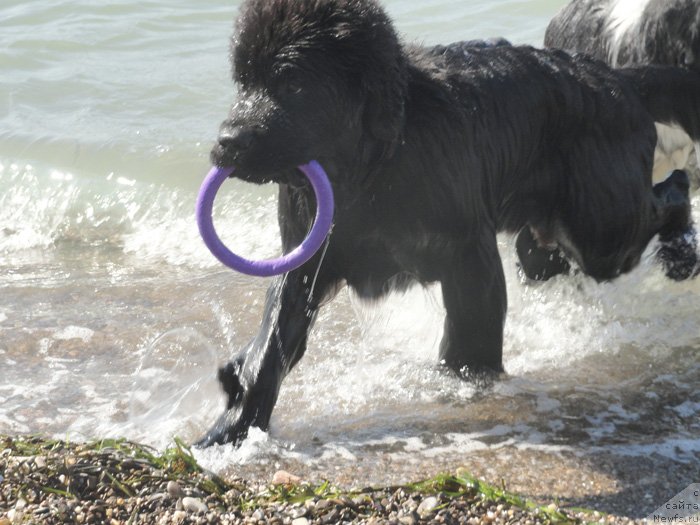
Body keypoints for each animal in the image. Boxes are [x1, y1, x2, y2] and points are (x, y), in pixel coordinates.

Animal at [196, 0, 700, 446]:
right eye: (244, 81)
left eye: (292, 84)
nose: (227, 141)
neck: (374, 165)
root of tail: (619, 78)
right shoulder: (304, 258)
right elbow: (271, 345)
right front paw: (230, 429)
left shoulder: (468, 256)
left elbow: (472, 334)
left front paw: (463, 384)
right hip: (557, 235)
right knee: (541, 256)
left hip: (603, 227)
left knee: (671, 190)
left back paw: (682, 253)